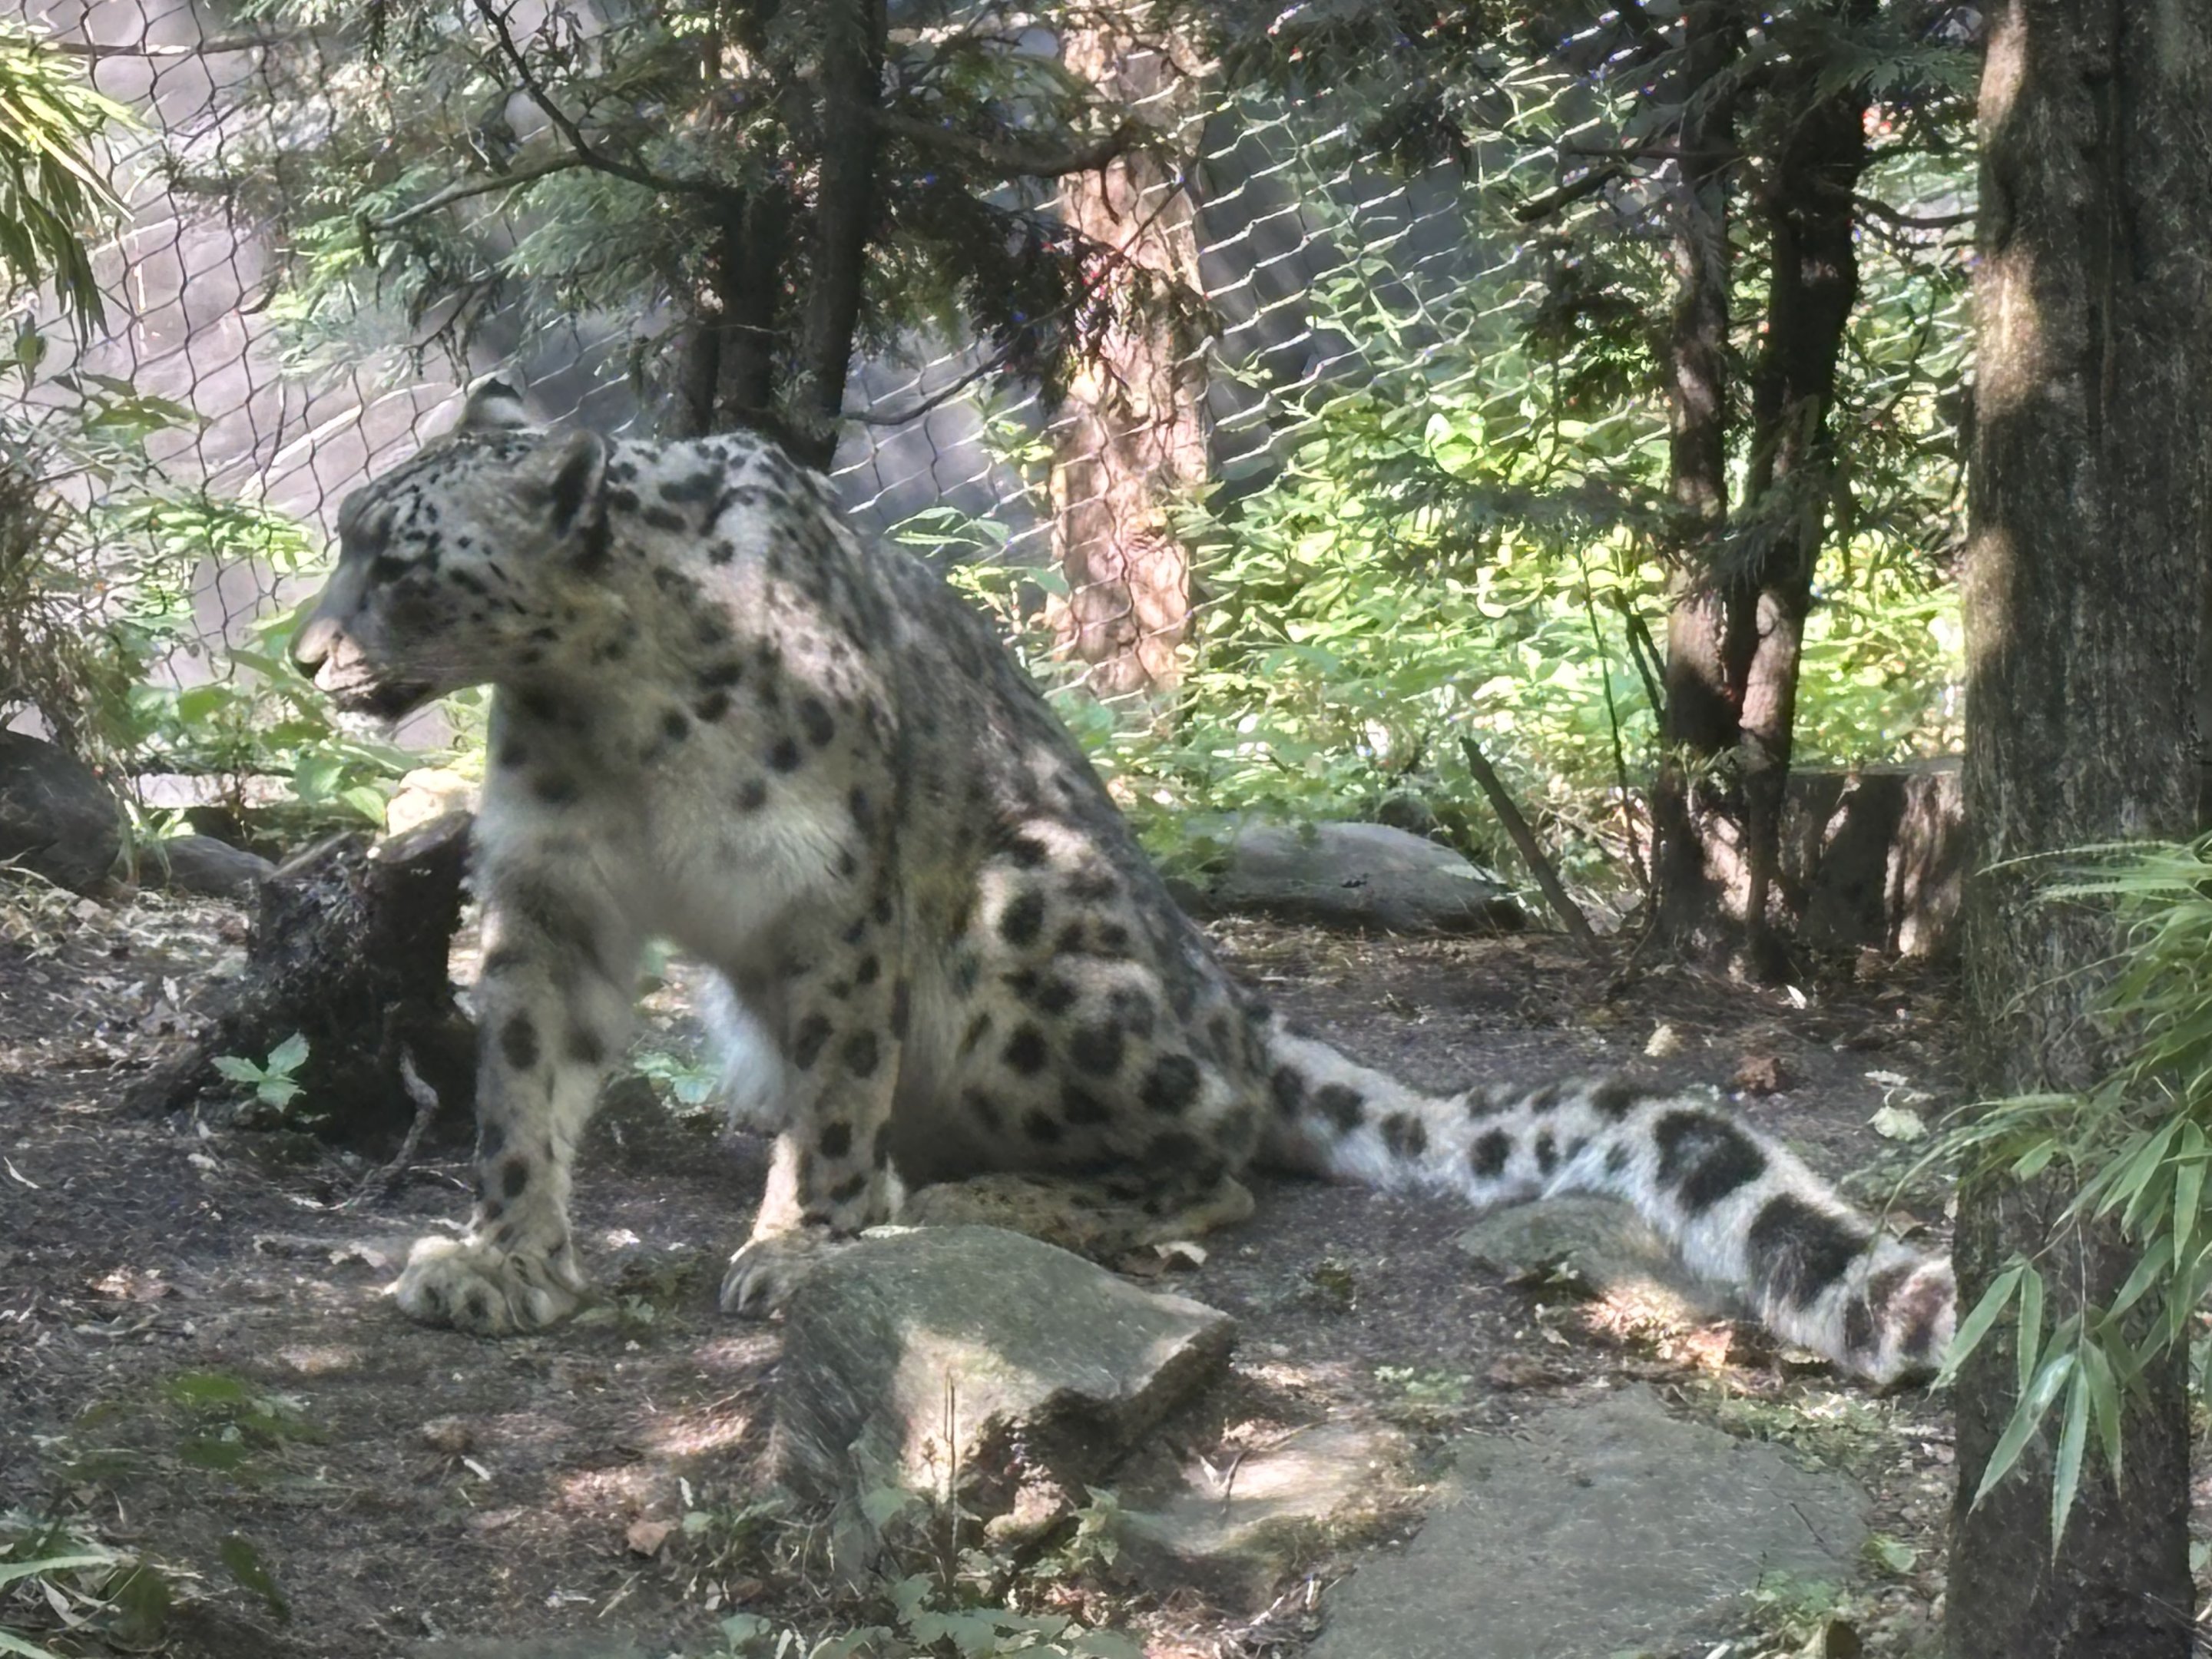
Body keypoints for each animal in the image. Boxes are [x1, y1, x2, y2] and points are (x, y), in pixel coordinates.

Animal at [290, 380, 1955, 1384]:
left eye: (402, 561)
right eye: (346, 534)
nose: (305, 657)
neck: (614, 714)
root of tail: (1239, 1003)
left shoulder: (838, 899)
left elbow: (837, 1089)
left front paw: (801, 1247)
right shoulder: (554, 896)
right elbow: (521, 1086)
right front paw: (505, 1264)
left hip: (1033, 921)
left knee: (1208, 1155)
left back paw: (975, 1196)